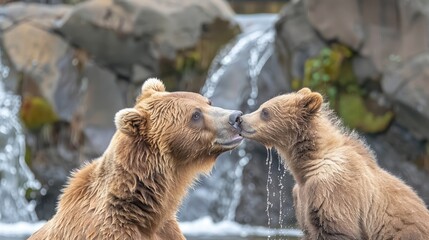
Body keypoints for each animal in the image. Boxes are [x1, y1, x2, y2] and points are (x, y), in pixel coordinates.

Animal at [239, 88, 428, 240]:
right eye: (262, 107)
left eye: (265, 111)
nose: (240, 119)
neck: (308, 164)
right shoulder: (302, 198)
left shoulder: (332, 191)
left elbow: (335, 228)